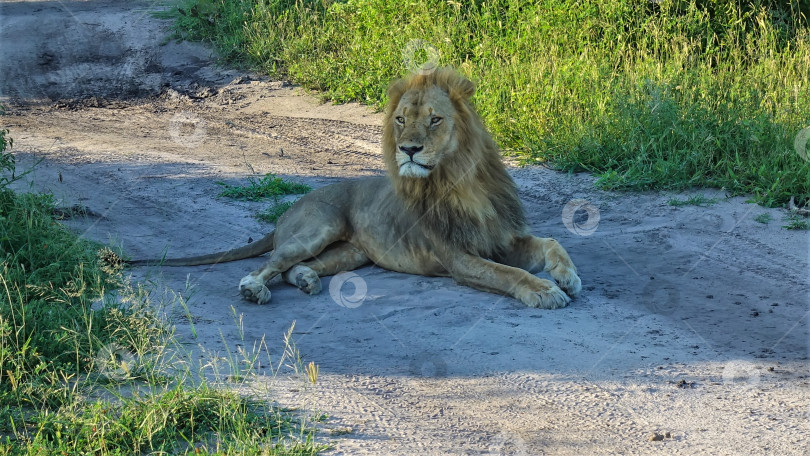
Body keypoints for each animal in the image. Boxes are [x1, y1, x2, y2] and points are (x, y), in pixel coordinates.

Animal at [129, 67, 576, 310]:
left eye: (434, 120)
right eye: (400, 119)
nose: (407, 149)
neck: (460, 180)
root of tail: (288, 210)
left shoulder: (503, 236)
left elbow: (552, 242)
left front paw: (566, 276)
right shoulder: (458, 259)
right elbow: (507, 273)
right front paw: (544, 290)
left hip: (351, 252)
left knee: (294, 269)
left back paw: (306, 281)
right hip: (318, 229)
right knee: (269, 264)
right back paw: (254, 289)